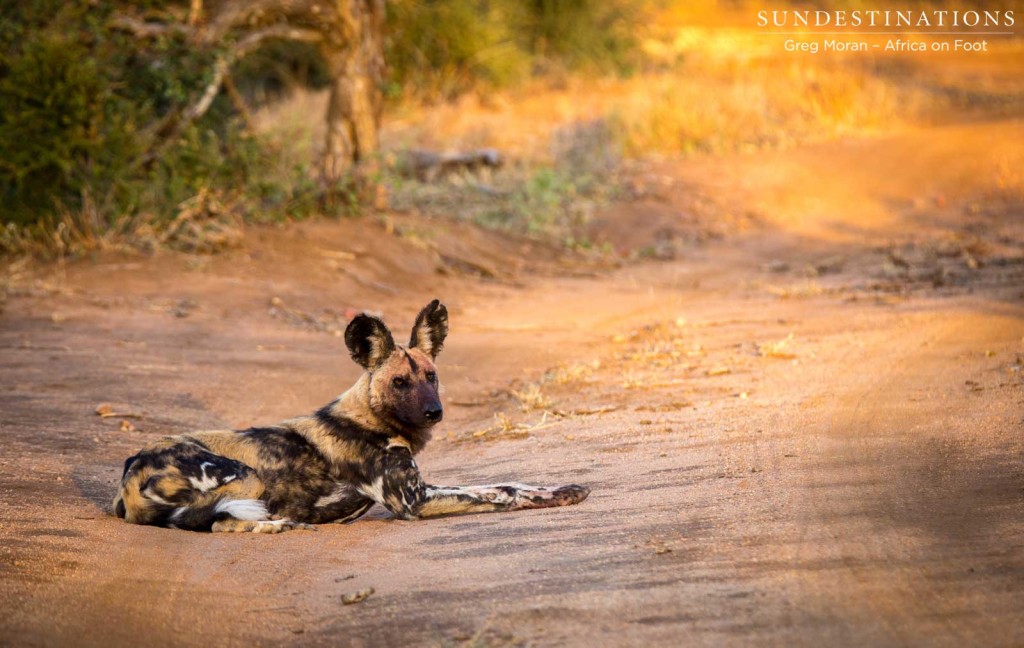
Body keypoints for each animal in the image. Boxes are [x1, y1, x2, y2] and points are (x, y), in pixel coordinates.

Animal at [110, 298, 593, 532]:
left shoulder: (424, 487)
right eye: (399, 383)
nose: (434, 412)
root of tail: (131, 469)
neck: (373, 421)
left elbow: (505, 484)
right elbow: (499, 495)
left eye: (431, 376)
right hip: (246, 477)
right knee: (221, 523)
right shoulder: (413, 502)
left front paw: (563, 491)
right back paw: (282, 525)